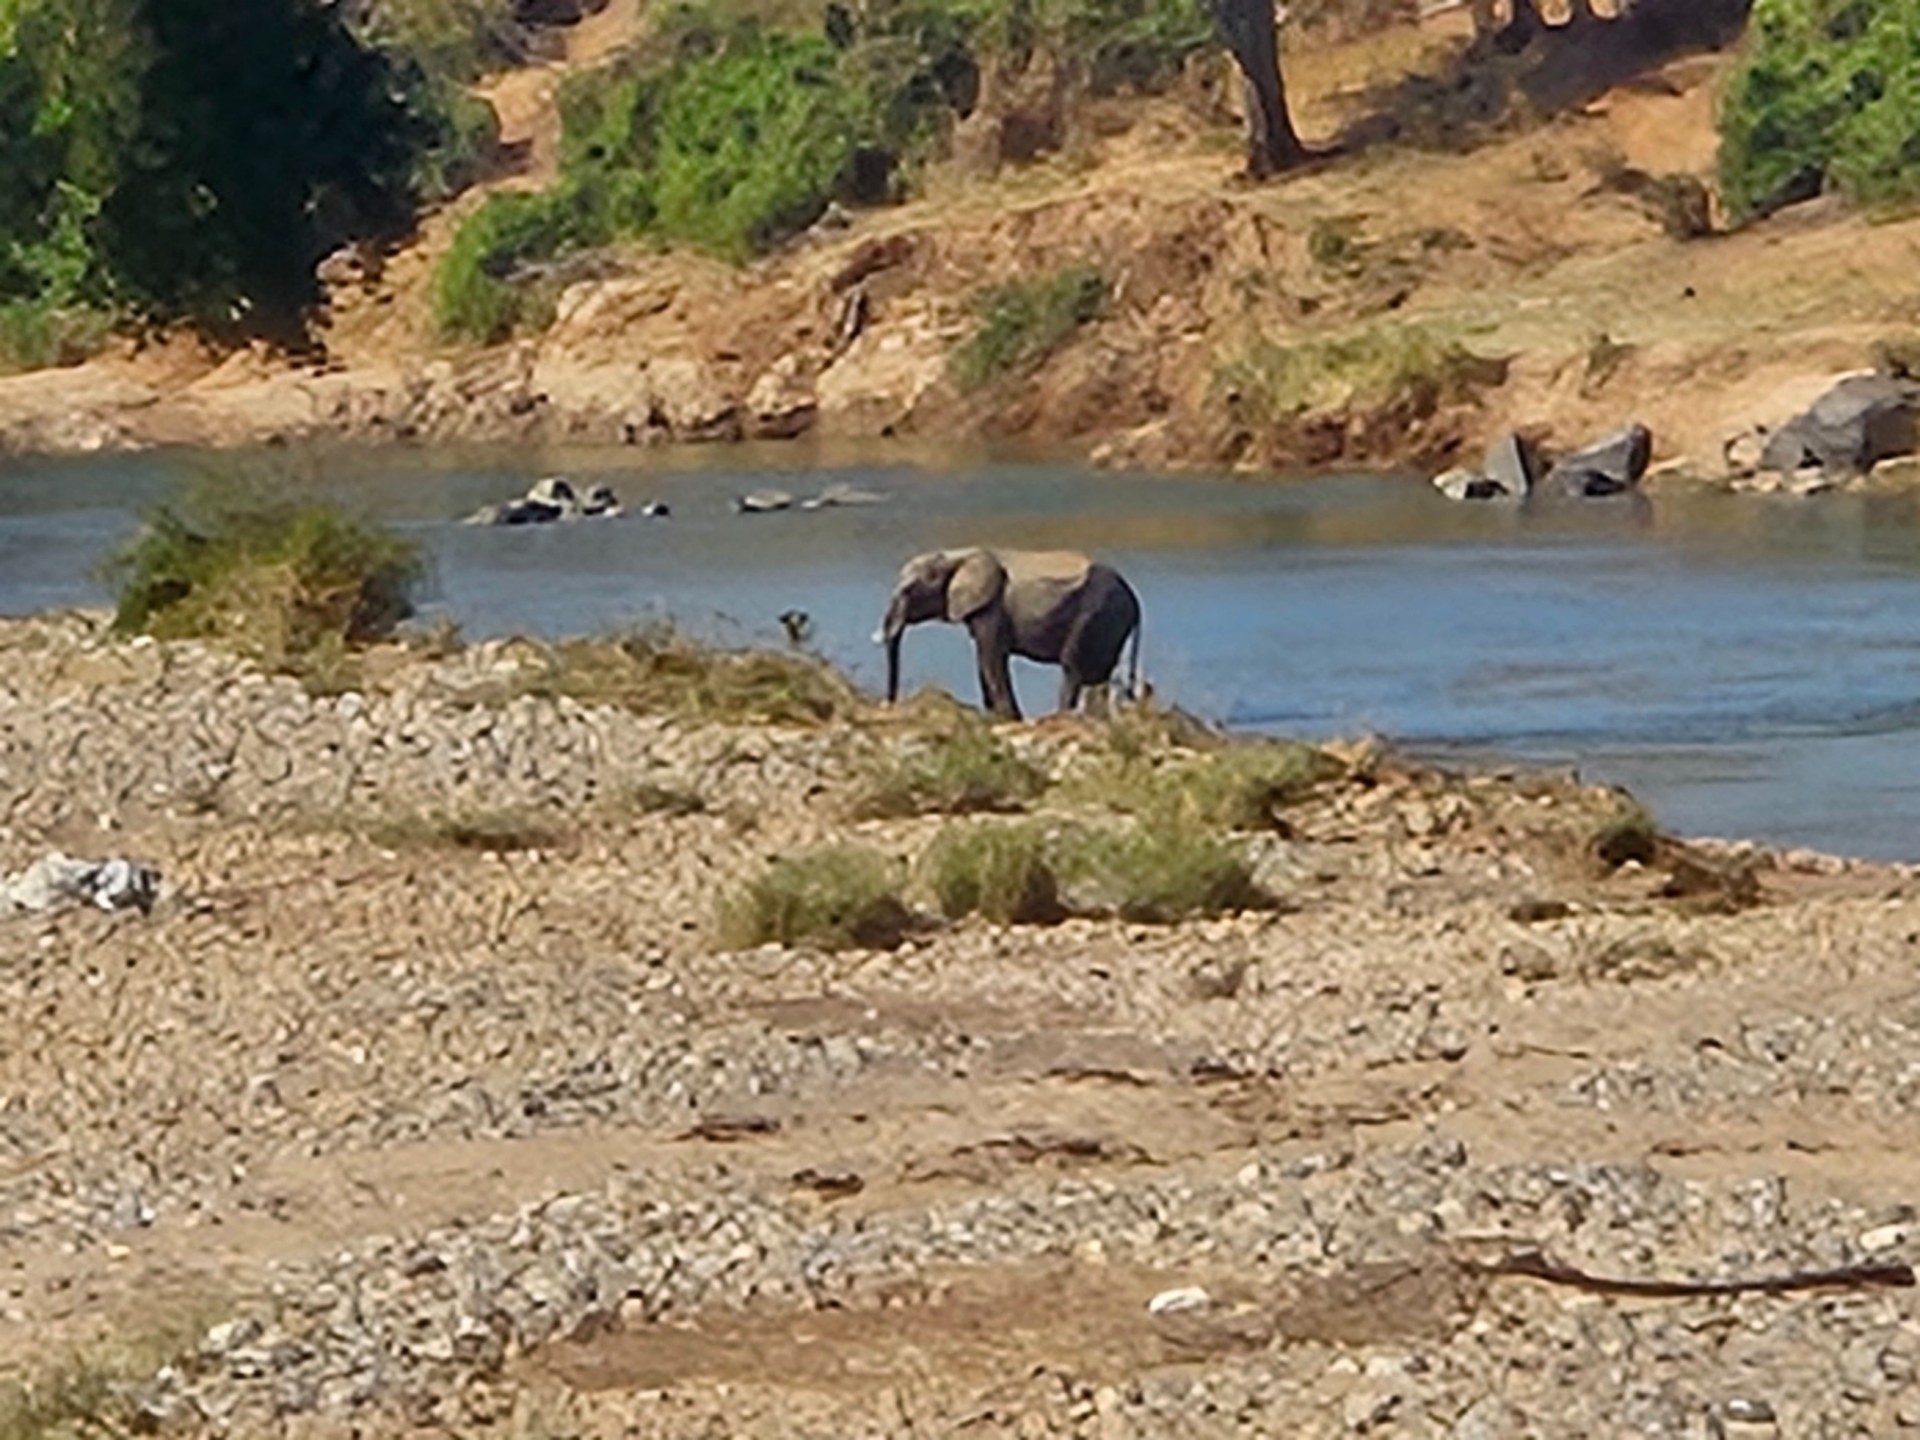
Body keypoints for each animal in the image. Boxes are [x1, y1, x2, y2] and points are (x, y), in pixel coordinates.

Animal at [874, 548, 1143, 721]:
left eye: (908, 591)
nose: (888, 704)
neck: (956, 556)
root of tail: (1135, 600)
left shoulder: (991, 608)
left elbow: (992, 658)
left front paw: (1009, 719)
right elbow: (984, 660)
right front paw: (994, 717)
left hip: (1097, 614)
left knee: (1073, 667)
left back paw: (1062, 716)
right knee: (1098, 676)